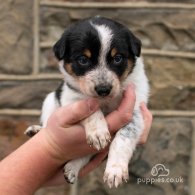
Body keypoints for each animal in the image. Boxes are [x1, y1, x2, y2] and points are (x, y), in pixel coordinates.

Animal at [24, 16, 149, 187]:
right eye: (83, 59)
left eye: (117, 58)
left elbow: (123, 138)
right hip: (50, 100)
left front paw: (115, 170)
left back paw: (72, 167)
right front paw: (98, 132)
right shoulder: (71, 97)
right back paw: (36, 130)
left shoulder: (135, 110)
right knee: (47, 123)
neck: (104, 101)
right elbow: (91, 111)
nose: (103, 89)